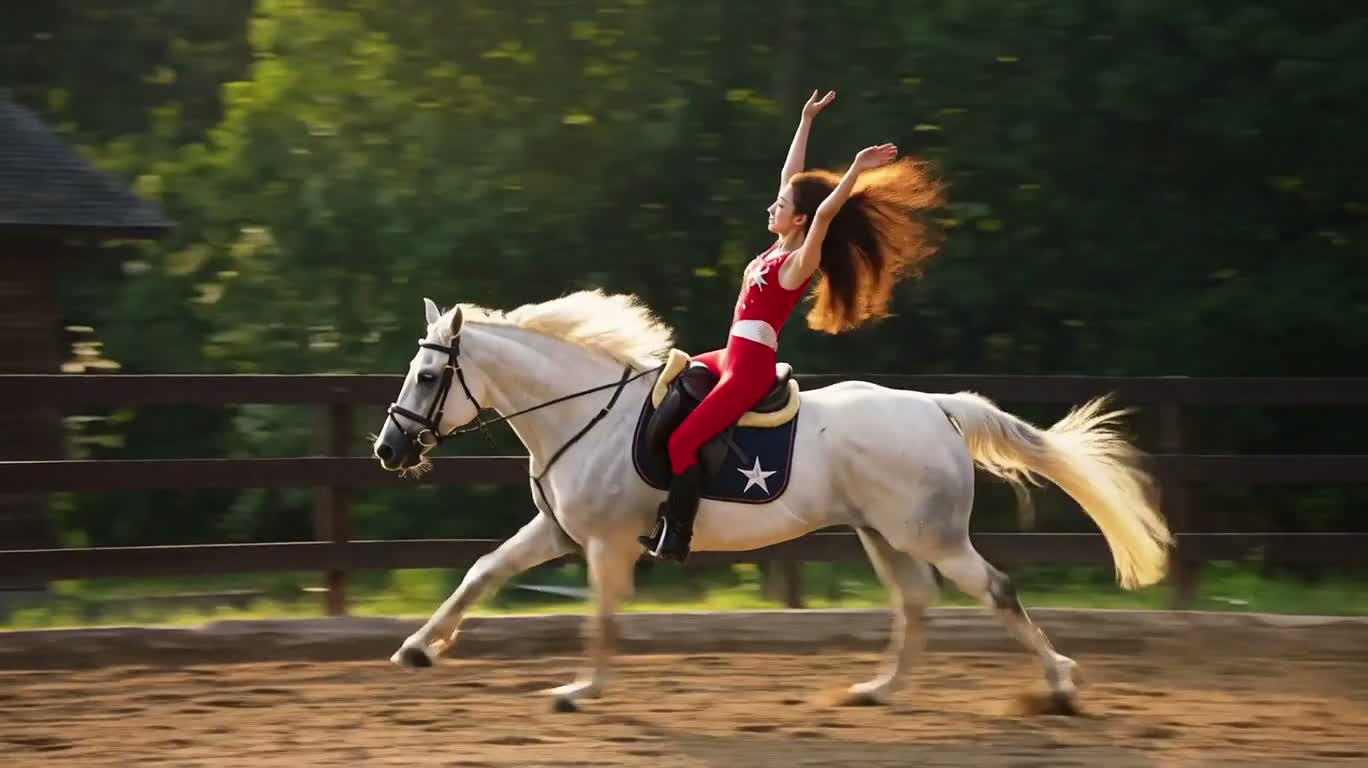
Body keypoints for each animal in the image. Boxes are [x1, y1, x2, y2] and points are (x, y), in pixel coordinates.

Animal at [371, 289, 1172, 712]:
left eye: (426, 377)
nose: (388, 450)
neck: (581, 411)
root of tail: (939, 407)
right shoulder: (558, 530)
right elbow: (481, 572)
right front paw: (416, 647)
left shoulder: (604, 542)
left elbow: (602, 613)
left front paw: (582, 686)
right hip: (886, 535)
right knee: (915, 602)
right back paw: (880, 688)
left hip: (933, 537)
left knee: (997, 590)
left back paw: (1059, 684)